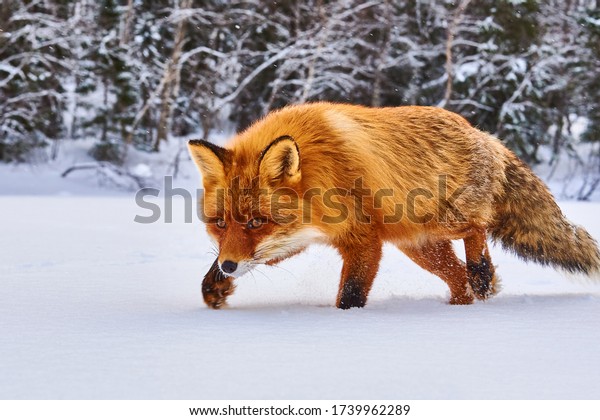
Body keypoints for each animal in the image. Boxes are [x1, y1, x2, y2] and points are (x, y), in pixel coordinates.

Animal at [188, 102, 600, 308]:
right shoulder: (296, 236)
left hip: (440, 223)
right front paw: (215, 285)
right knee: (458, 280)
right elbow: (252, 260)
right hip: (420, 246)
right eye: (220, 224)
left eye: (256, 222)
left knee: (476, 230)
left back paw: (481, 273)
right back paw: (461, 305)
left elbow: (350, 295)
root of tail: (485, 135)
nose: (228, 265)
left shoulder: (364, 238)